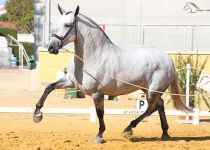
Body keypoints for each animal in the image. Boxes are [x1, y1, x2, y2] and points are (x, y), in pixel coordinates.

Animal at [34, 4, 192, 143]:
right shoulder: (70, 82)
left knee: (151, 108)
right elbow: (48, 87)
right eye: (57, 24)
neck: (93, 57)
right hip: (147, 89)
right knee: (159, 105)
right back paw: (164, 133)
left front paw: (99, 136)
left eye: (68, 25)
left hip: (153, 91)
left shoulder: (97, 93)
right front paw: (37, 115)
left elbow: (100, 113)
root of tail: (168, 58)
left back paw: (129, 128)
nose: (51, 47)